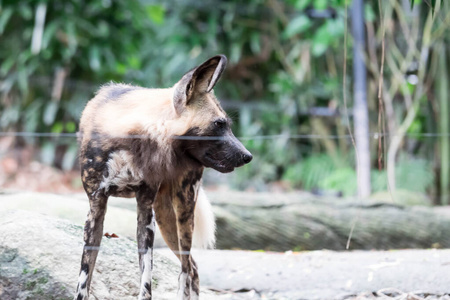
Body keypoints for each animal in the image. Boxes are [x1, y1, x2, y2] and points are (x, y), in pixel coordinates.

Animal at [72, 54, 251, 300]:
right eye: (218, 124)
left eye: (226, 125)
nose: (248, 156)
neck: (133, 140)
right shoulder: (96, 208)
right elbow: (84, 278)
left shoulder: (145, 211)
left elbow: (146, 281)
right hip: (167, 220)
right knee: (192, 267)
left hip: (182, 212)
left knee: (187, 269)